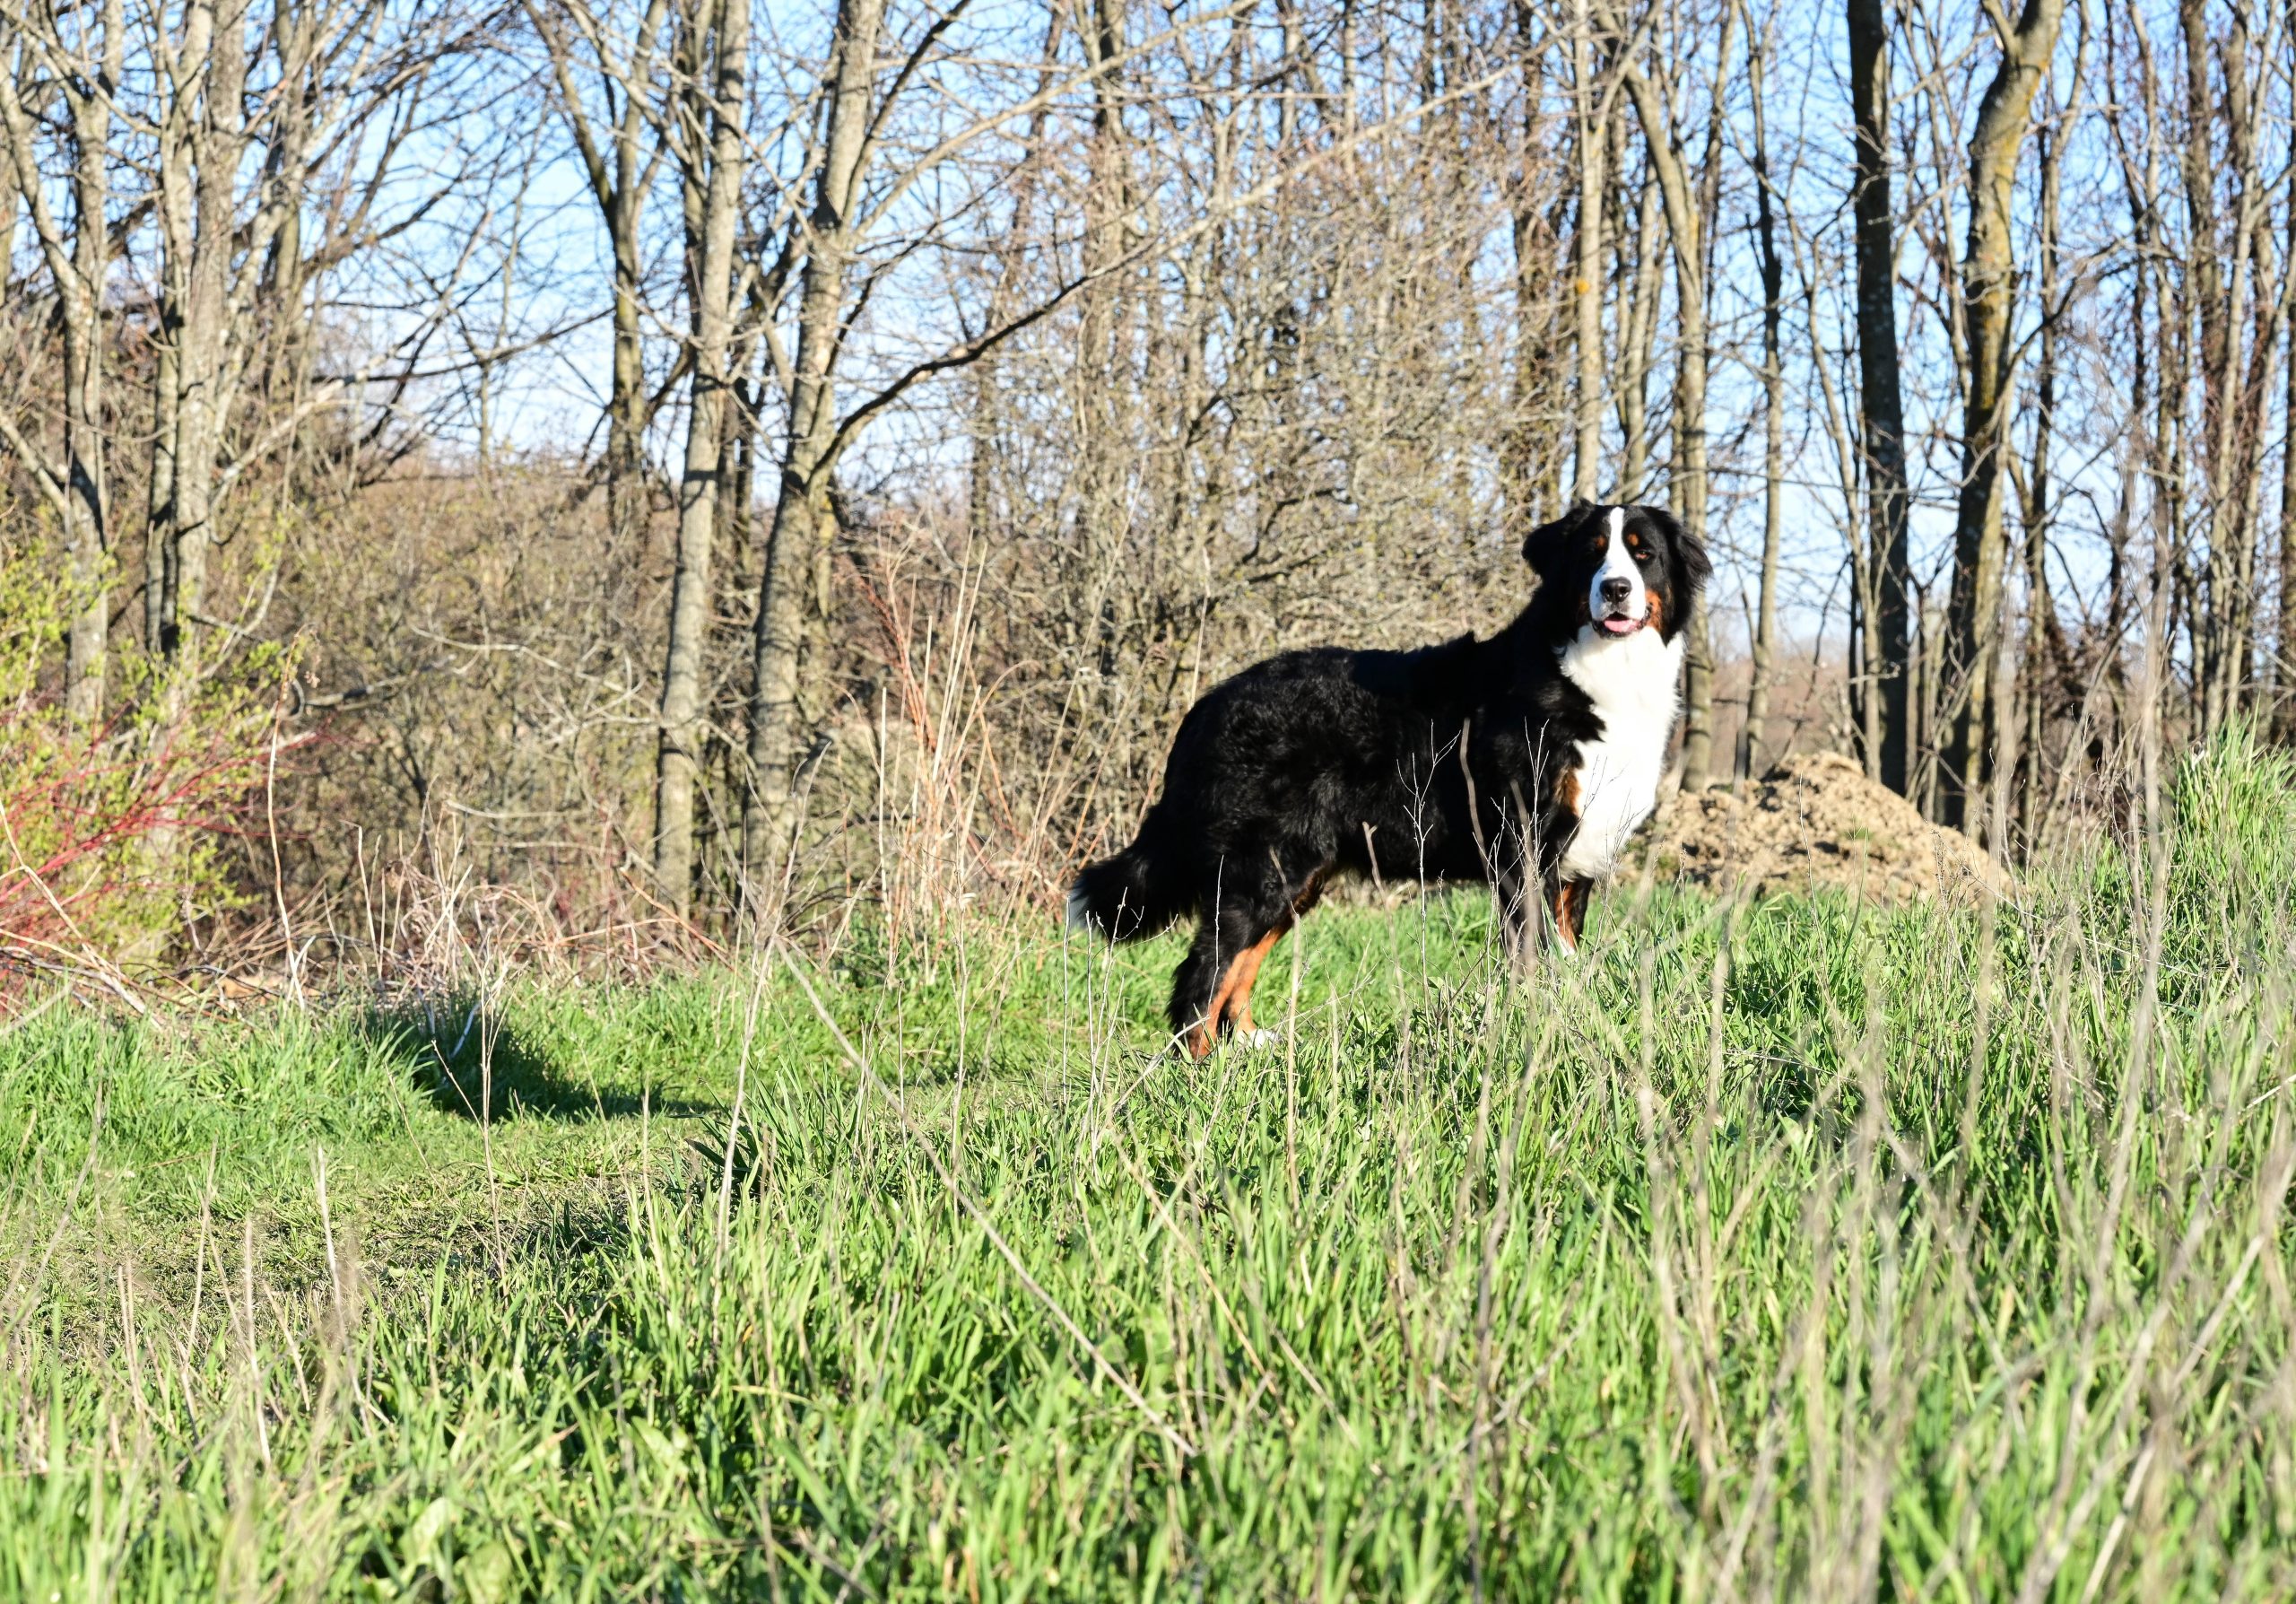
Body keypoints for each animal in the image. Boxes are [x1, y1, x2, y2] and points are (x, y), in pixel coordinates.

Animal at [1067, 501, 1710, 1058]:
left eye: (1643, 555)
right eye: (1591, 556)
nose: (1616, 589)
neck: (1597, 675)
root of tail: (1207, 705)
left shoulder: (1578, 859)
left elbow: (1566, 950)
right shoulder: (1523, 847)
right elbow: (1536, 956)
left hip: (1298, 875)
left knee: (1238, 966)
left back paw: (1250, 1046)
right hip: (1262, 868)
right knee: (1203, 975)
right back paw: (1202, 1073)